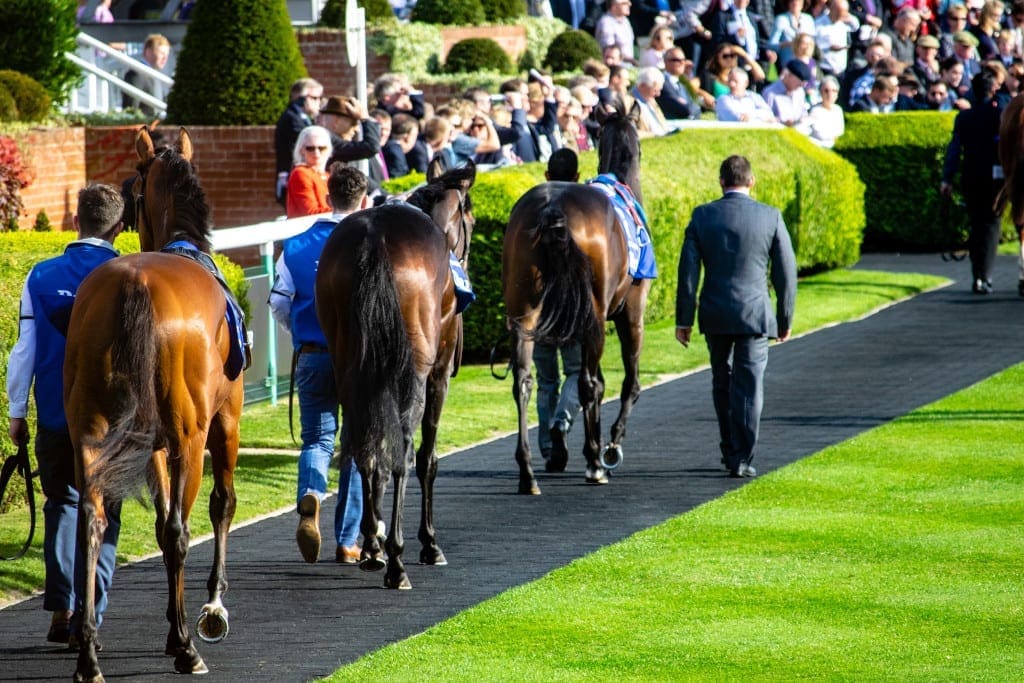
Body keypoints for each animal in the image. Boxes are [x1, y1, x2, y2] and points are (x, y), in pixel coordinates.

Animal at [64, 127, 243, 683]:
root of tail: (134, 284)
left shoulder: (155, 445)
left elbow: (163, 525)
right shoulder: (223, 421)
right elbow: (218, 505)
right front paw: (209, 611)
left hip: (93, 430)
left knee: (92, 522)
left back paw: (89, 654)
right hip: (191, 436)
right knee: (181, 528)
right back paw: (188, 647)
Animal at [315, 158, 475, 589]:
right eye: (470, 215)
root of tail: (373, 240)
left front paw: (373, 543)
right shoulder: (438, 374)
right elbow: (426, 456)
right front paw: (429, 544)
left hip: (349, 366)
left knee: (364, 447)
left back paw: (373, 549)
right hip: (412, 372)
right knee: (402, 447)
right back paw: (397, 561)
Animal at [501, 104, 647, 493]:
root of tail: (552, 208)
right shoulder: (631, 311)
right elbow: (628, 382)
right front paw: (610, 447)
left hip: (524, 309)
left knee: (524, 381)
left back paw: (528, 472)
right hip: (593, 316)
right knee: (587, 384)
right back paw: (595, 463)